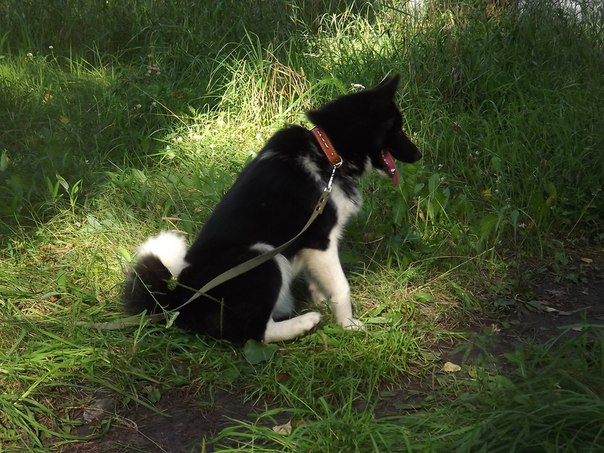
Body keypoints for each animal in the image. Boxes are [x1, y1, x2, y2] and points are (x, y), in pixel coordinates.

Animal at [123, 75, 421, 343]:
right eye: (397, 129)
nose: (419, 155)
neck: (328, 154)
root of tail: (180, 301)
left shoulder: (309, 246)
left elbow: (318, 280)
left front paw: (321, 302)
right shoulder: (320, 240)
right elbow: (342, 287)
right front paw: (348, 324)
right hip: (264, 257)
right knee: (254, 332)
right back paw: (304, 323)